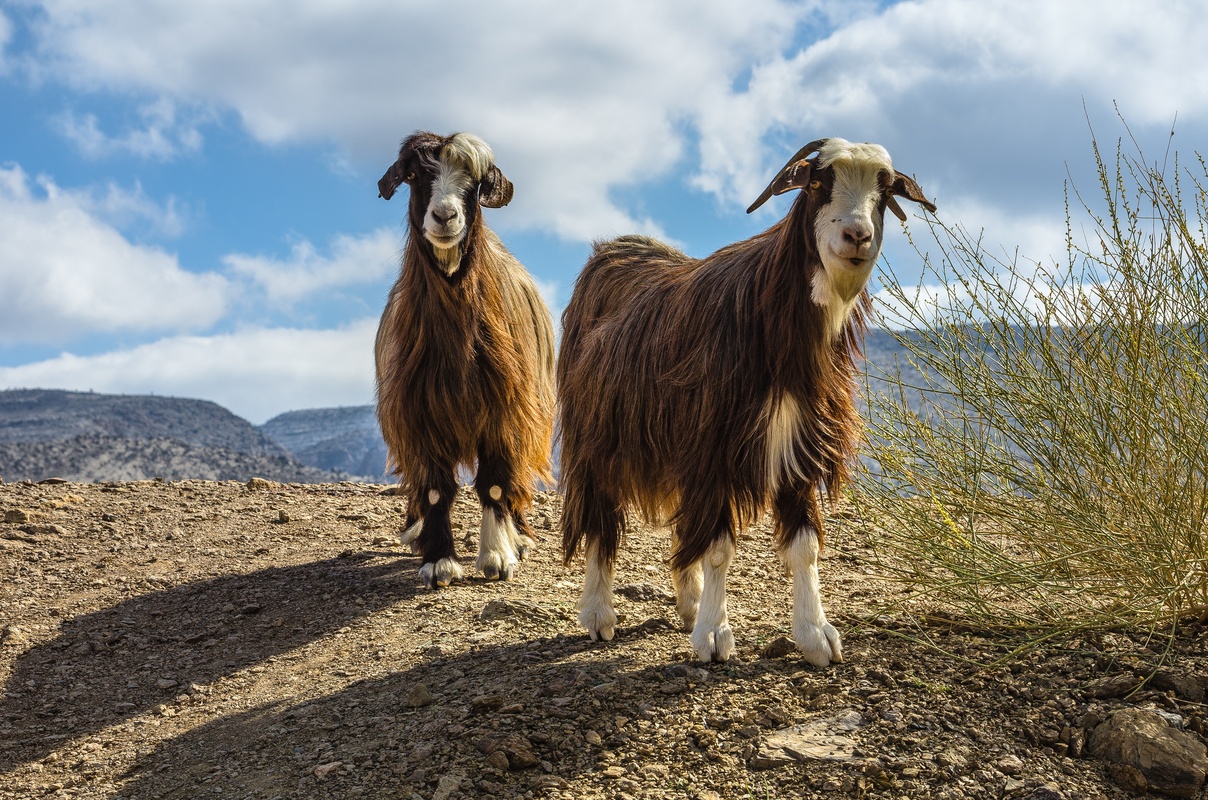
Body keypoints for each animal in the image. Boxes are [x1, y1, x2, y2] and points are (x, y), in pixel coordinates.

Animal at [375, 131, 556, 589]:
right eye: (414, 176)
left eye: (474, 183)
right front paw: (438, 560)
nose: (444, 216)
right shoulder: (419, 413)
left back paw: (518, 536)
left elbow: (494, 485)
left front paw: (496, 556)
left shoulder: (504, 411)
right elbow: (435, 488)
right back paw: (415, 530)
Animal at [558, 137, 934, 663]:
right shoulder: (715, 446)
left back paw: (689, 602)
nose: (856, 236)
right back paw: (598, 613)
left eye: (885, 190)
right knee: (600, 519)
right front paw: (715, 635)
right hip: (595, 435)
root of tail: (610, 248)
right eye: (818, 183)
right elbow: (718, 547)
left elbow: (804, 547)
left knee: (680, 525)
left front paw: (815, 634)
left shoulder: (799, 440)